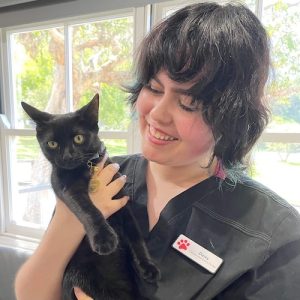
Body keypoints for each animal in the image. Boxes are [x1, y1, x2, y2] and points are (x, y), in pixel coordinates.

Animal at [21, 94, 159, 300]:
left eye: (78, 138)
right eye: (52, 144)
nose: (67, 156)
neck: (88, 166)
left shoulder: (122, 201)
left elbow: (136, 236)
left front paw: (148, 266)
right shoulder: (68, 189)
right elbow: (89, 209)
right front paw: (104, 238)